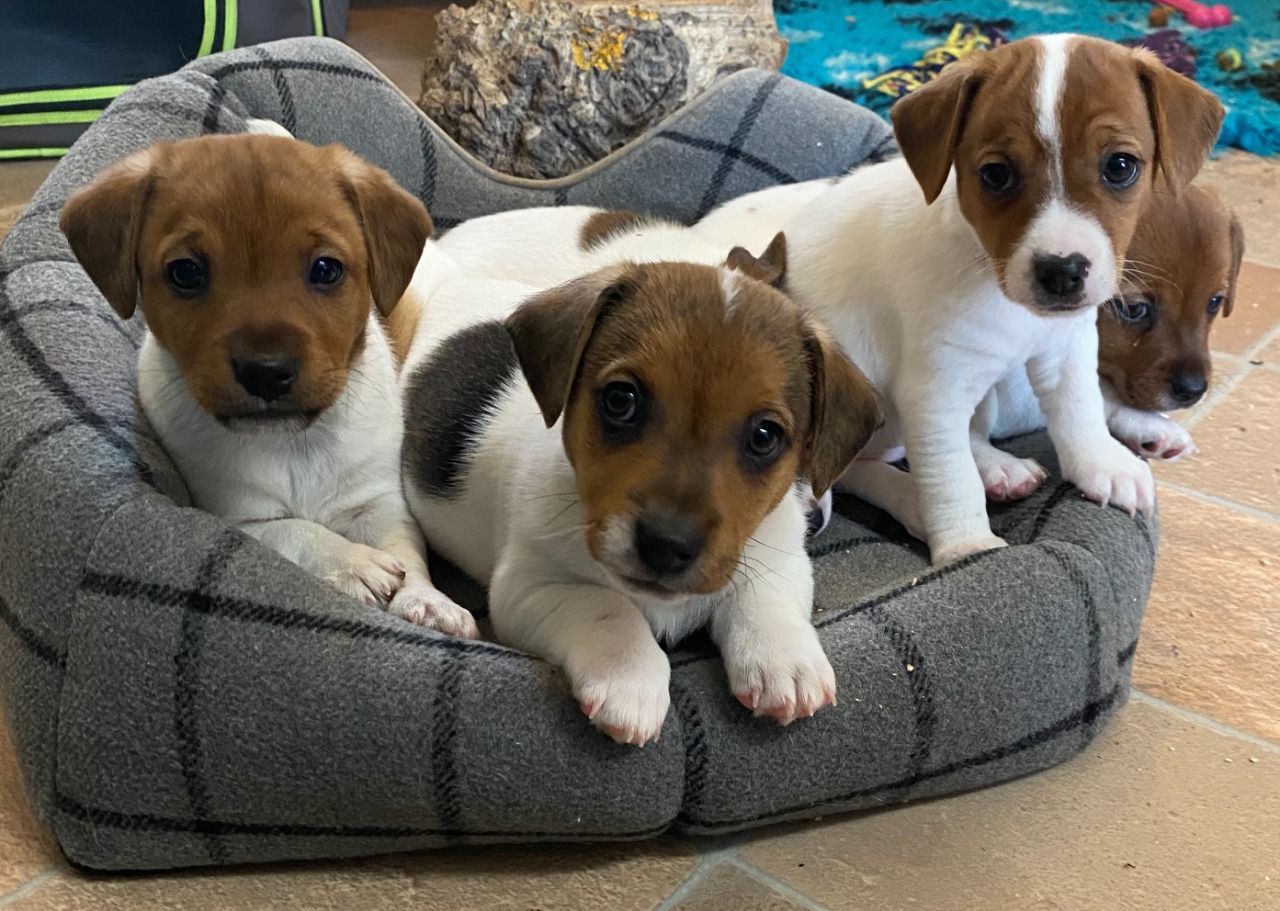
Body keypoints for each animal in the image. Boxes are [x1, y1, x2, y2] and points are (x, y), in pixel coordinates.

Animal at [399, 244, 880, 747]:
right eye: (620, 400)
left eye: (765, 436)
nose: (667, 546)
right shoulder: (528, 586)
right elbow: (609, 607)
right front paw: (626, 675)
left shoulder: (779, 560)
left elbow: (762, 598)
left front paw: (784, 658)